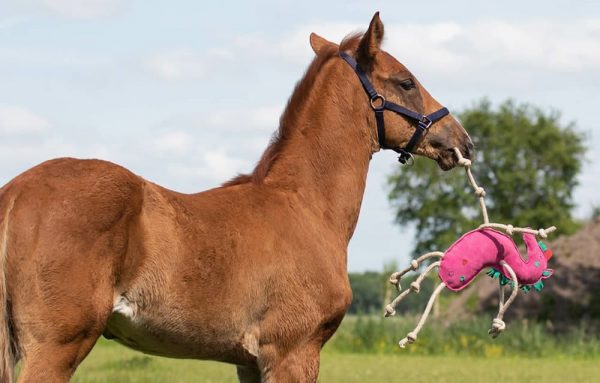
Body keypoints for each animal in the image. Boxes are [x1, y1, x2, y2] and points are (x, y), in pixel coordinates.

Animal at [0, 13, 474, 382]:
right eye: (406, 82)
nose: (461, 141)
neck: (305, 207)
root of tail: (16, 191)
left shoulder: (248, 361)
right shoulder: (293, 352)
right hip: (57, 347)